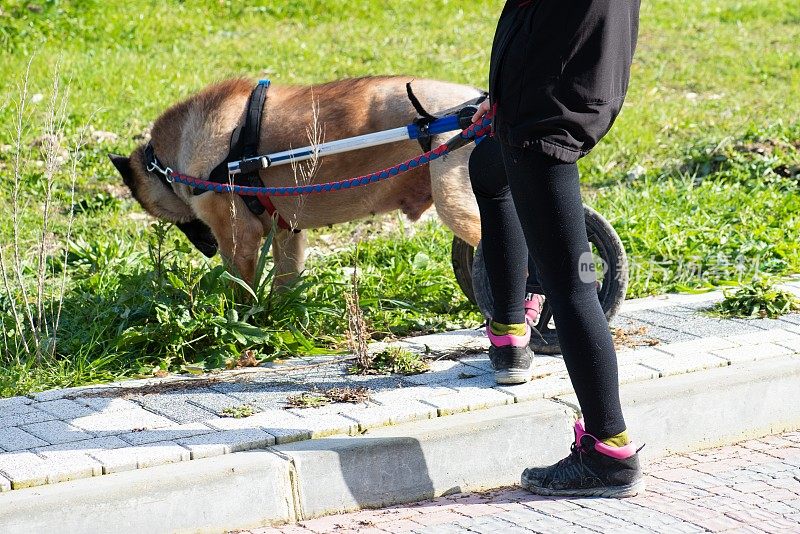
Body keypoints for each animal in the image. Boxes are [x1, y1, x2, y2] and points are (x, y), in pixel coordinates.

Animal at [110, 77, 484, 286]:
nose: (206, 249)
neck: (166, 163)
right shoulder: (287, 234)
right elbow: (284, 287)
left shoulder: (237, 239)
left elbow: (240, 292)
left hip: (455, 204)